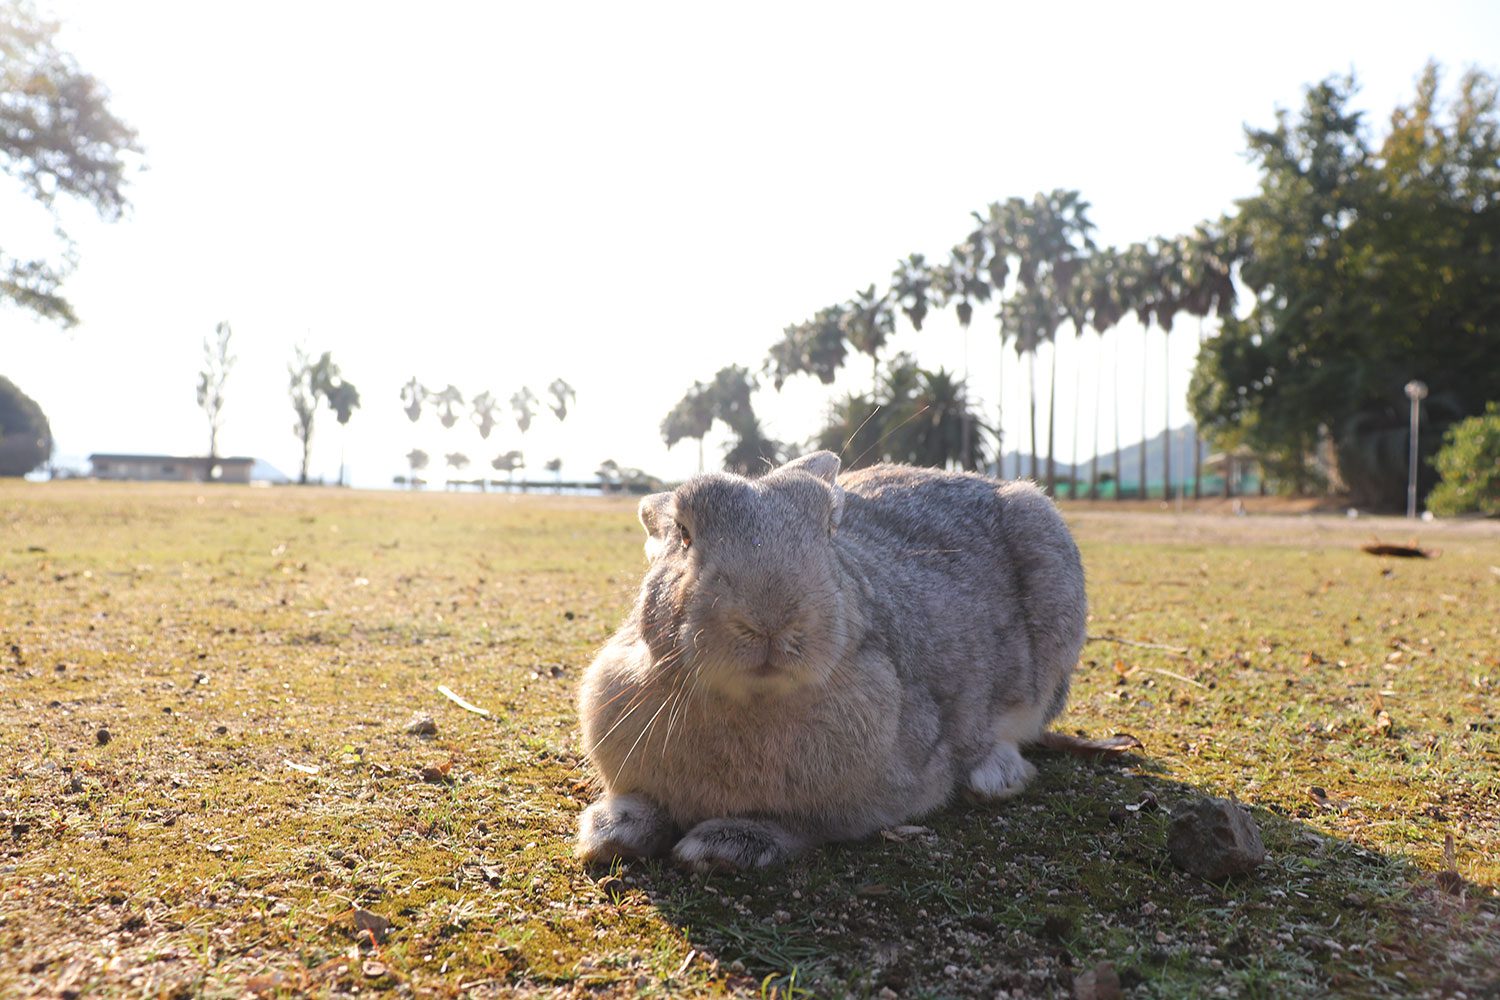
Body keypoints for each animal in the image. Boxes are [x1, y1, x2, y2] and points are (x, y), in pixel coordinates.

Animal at [576, 452, 1092, 869]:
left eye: (828, 527)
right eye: (684, 534)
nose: (771, 619)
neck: (755, 700)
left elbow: (803, 825)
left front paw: (721, 847)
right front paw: (611, 832)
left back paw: (993, 776)